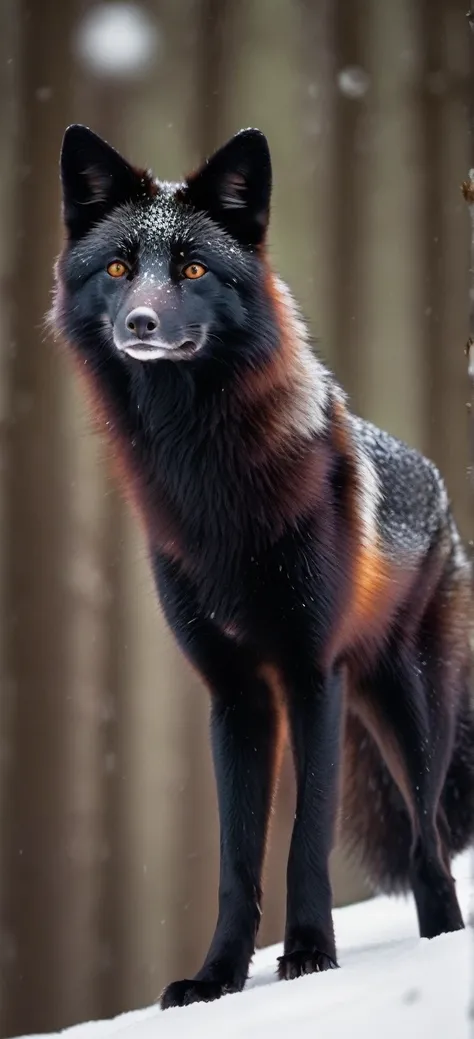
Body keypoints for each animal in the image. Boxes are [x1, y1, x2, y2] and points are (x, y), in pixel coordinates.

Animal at [50, 125, 474, 1009]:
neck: (208, 483)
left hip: (410, 714)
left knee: (429, 848)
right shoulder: (236, 692)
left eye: (192, 270)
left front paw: (311, 954)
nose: (141, 322)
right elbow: (236, 857)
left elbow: (304, 837)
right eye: (117, 269)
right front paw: (216, 977)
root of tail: (443, 494)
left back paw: (440, 943)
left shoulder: (311, 673)